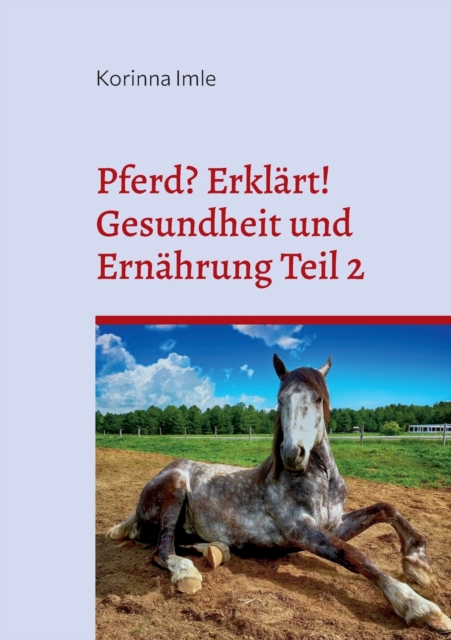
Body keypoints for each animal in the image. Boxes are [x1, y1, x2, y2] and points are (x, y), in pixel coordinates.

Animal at [107, 355, 451, 634]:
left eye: (317, 398)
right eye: (281, 399)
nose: (291, 454)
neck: (319, 481)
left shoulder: (333, 524)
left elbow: (386, 508)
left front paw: (418, 566)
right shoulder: (300, 531)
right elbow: (354, 555)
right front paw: (420, 607)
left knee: (183, 541)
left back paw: (217, 550)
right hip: (175, 488)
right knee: (162, 549)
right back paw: (186, 573)